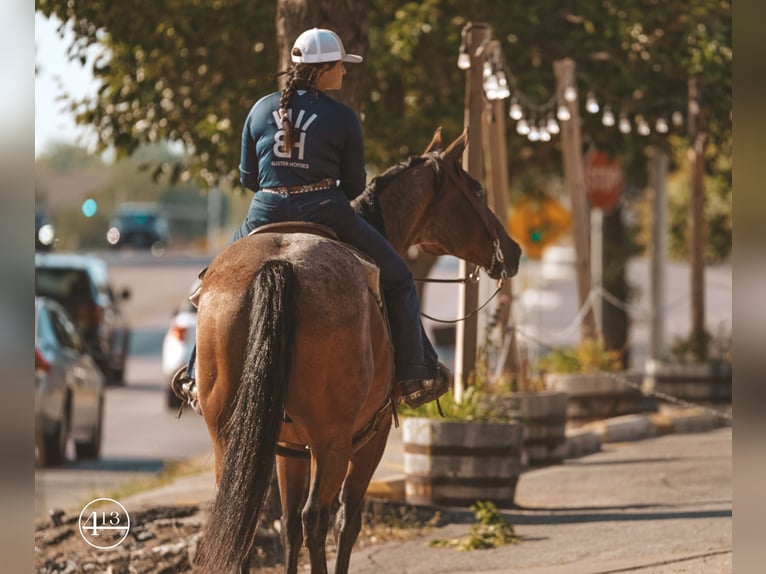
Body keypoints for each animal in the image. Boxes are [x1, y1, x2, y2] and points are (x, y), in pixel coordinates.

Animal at [195, 128, 524, 572]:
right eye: (476, 189)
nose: (514, 250)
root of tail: (278, 265)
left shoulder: (289, 449)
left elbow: (288, 526)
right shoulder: (372, 437)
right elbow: (347, 521)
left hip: (230, 436)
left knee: (240, 524)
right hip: (332, 441)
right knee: (317, 517)